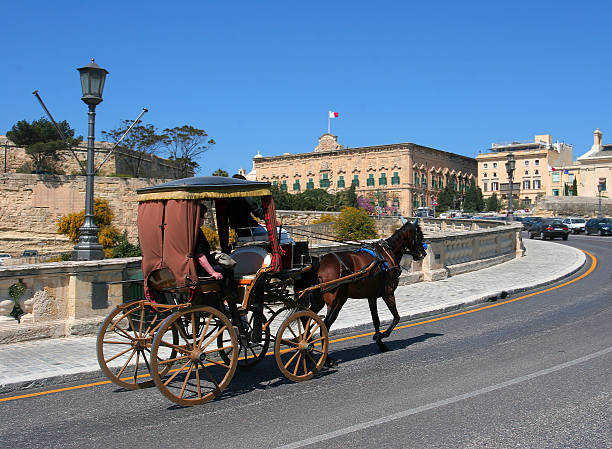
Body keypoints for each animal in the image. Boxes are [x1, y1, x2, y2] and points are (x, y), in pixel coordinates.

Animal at [296, 216, 426, 356]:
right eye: (420, 235)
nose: (423, 253)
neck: (386, 253)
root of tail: (319, 263)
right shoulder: (388, 293)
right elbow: (396, 317)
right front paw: (382, 335)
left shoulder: (372, 296)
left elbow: (376, 320)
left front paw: (380, 343)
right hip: (336, 302)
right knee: (324, 326)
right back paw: (325, 357)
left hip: (319, 300)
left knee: (306, 318)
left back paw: (307, 345)